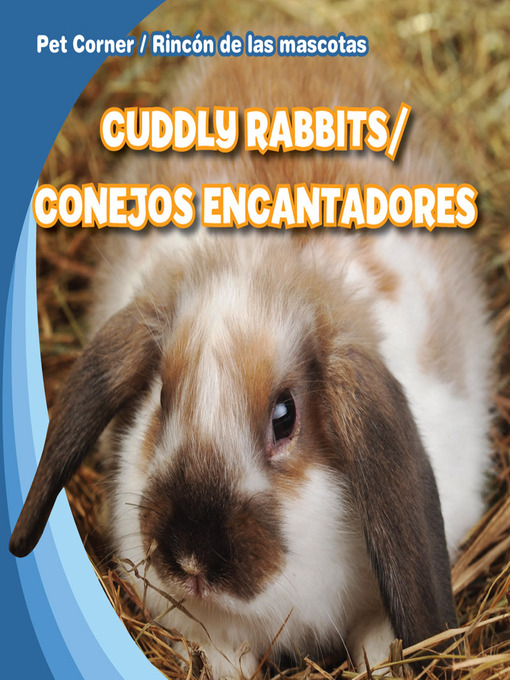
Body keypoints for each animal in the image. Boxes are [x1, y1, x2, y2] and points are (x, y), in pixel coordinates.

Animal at [10, 46, 494, 679]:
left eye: (285, 417)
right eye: (161, 398)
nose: (192, 558)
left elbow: (376, 636)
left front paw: (382, 661)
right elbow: (223, 654)